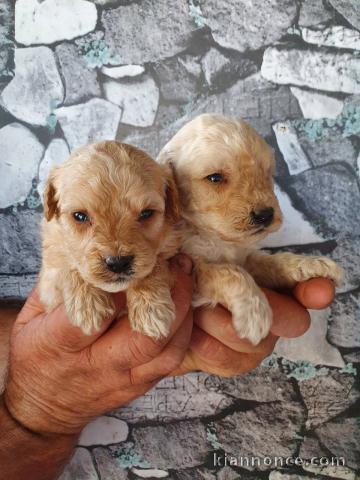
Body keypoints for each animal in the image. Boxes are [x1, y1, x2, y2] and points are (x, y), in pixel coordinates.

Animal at [39, 141, 181, 340]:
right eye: (79, 216)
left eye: (146, 213)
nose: (118, 263)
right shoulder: (49, 278)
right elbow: (69, 266)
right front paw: (88, 306)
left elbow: (155, 266)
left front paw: (152, 310)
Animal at [158, 113, 344, 344]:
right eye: (215, 178)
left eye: (266, 173)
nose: (265, 215)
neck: (215, 237)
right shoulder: (191, 268)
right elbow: (229, 272)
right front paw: (254, 313)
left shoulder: (245, 256)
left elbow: (274, 261)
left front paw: (312, 264)